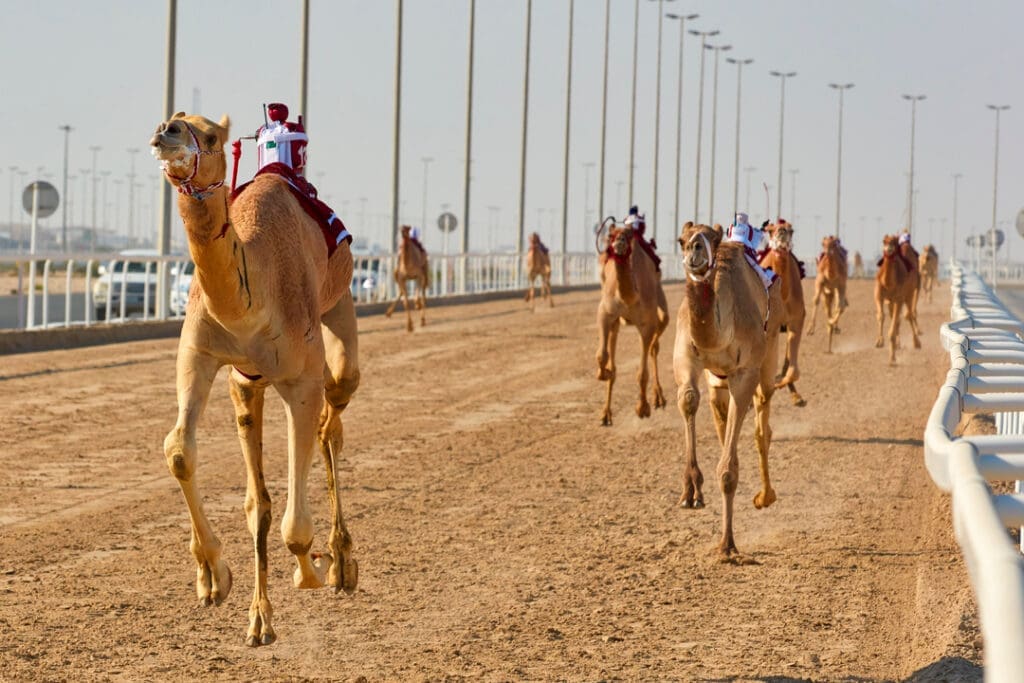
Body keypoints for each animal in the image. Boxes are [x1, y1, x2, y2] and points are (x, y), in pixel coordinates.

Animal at [150, 112, 359, 647]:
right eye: (173, 119)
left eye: (210, 135)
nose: (168, 131)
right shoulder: (200, 354)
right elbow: (180, 452)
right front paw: (216, 580)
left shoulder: (300, 380)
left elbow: (294, 525)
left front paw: (310, 571)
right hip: (247, 384)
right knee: (261, 493)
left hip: (338, 311)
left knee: (335, 408)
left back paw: (341, 560)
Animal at [595, 220, 669, 426]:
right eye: (610, 235)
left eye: (628, 235)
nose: (619, 243)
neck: (628, 297)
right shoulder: (605, 313)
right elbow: (602, 356)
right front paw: (604, 373)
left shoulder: (647, 324)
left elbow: (642, 373)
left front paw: (642, 409)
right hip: (616, 323)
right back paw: (606, 414)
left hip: (660, 306)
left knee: (655, 343)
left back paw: (658, 398)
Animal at [675, 222, 784, 559]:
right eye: (681, 239)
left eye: (711, 238)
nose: (694, 250)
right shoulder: (686, 354)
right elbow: (688, 399)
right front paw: (691, 490)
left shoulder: (745, 372)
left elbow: (728, 470)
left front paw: (727, 545)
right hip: (717, 380)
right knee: (723, 420)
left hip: (769, 354)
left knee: (763, 422)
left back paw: (766, 496)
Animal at [760, 221, 807, 407]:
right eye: (770, 230)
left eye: (791, 229)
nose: (781, 232)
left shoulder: (796, 321)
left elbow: (794, 371)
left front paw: (779, 383)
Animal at [875, 234, 921, 363]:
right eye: (884, 241)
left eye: (894, 242)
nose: (889, 249)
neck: (888, 283)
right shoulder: (879, 295)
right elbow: (881, 316)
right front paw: (879, 341)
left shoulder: (899, 299)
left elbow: (895, 322)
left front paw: (892, 357)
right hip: (892, 301)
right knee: (898, 318)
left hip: (909, 295)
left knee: (909, 315)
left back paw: (917, 342)